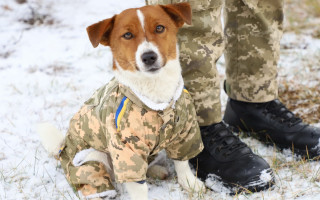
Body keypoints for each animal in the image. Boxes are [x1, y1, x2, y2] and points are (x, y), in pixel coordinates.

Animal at [37, 3, 205, 200]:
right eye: (127, 35)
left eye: (159, 28)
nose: (149, 57)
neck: (156, 95)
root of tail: (61, 148)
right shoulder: (125, 149)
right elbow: (139, 188)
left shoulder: (185, 133)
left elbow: (182, 162)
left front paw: (190, 183)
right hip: (90, 158)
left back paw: (156, 170)